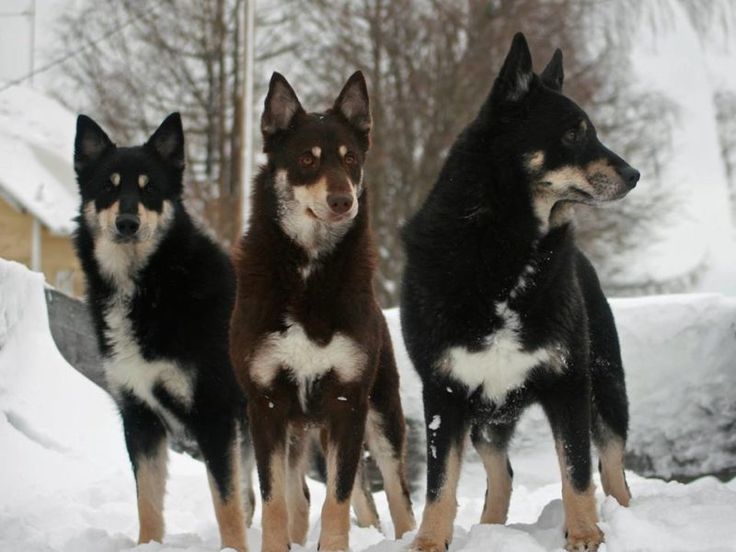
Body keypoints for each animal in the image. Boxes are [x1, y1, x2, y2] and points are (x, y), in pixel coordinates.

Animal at [72, 113, 253, 552]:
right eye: (108, 186)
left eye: (149, 188)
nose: (127, 223)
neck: (150, 284)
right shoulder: (140, 419)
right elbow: (148, 502)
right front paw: (148, 544)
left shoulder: (215, 415)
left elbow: (226, 503)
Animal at [230, 73, 414, 552]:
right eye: (306, 160)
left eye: (350, 159)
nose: (342, 201)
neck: (310, 269)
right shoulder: (267, 405)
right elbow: (275, 500)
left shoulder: (348, 402)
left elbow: (339, 498)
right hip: (299, 429)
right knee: (300, 496)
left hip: (382, 414)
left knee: (397, 495)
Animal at [400, 34, 636, 552]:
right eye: (573, 134)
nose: (634, 175)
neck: (505, 251)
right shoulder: (443, 393)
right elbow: (439, 485)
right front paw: (430, 540)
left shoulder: (569, 384)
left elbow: (577, 471)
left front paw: (585, 533)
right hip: (489, 417)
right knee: (501, 473)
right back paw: (490, 531)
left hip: (606, 387)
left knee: (612, 467)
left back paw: (624, 518)